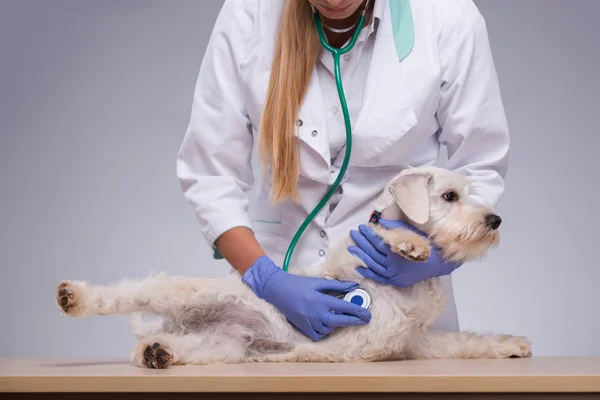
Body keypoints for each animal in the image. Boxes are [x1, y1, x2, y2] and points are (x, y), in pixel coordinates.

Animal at [56, 166, 532, 368]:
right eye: (449, 196)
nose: (494, 221)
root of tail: (180, 324)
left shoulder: (413, 340)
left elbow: (461, 342)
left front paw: (511, 344)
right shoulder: (346, 270)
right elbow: (376, 231)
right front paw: (409, 243)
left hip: (224, 347)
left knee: (165, 347)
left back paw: (157, 352)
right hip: (176, 291)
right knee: (124, 293)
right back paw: (74, 296)